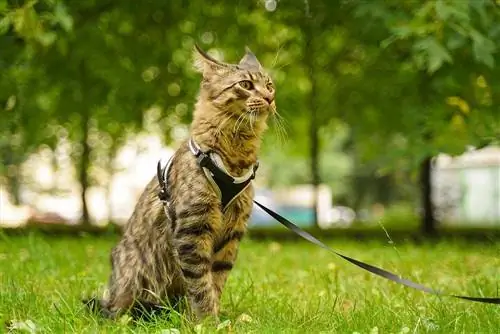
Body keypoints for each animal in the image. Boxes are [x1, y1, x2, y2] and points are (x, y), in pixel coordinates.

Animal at [84, 43, 276, 320]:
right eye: (246, 85)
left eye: (270, 85)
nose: (270, 98)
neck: (234, 158)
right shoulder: (192, 230)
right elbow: (200, 285)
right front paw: (206, 321)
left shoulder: (231, 235)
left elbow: (215, 282)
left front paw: (216, 317)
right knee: (121, 311)